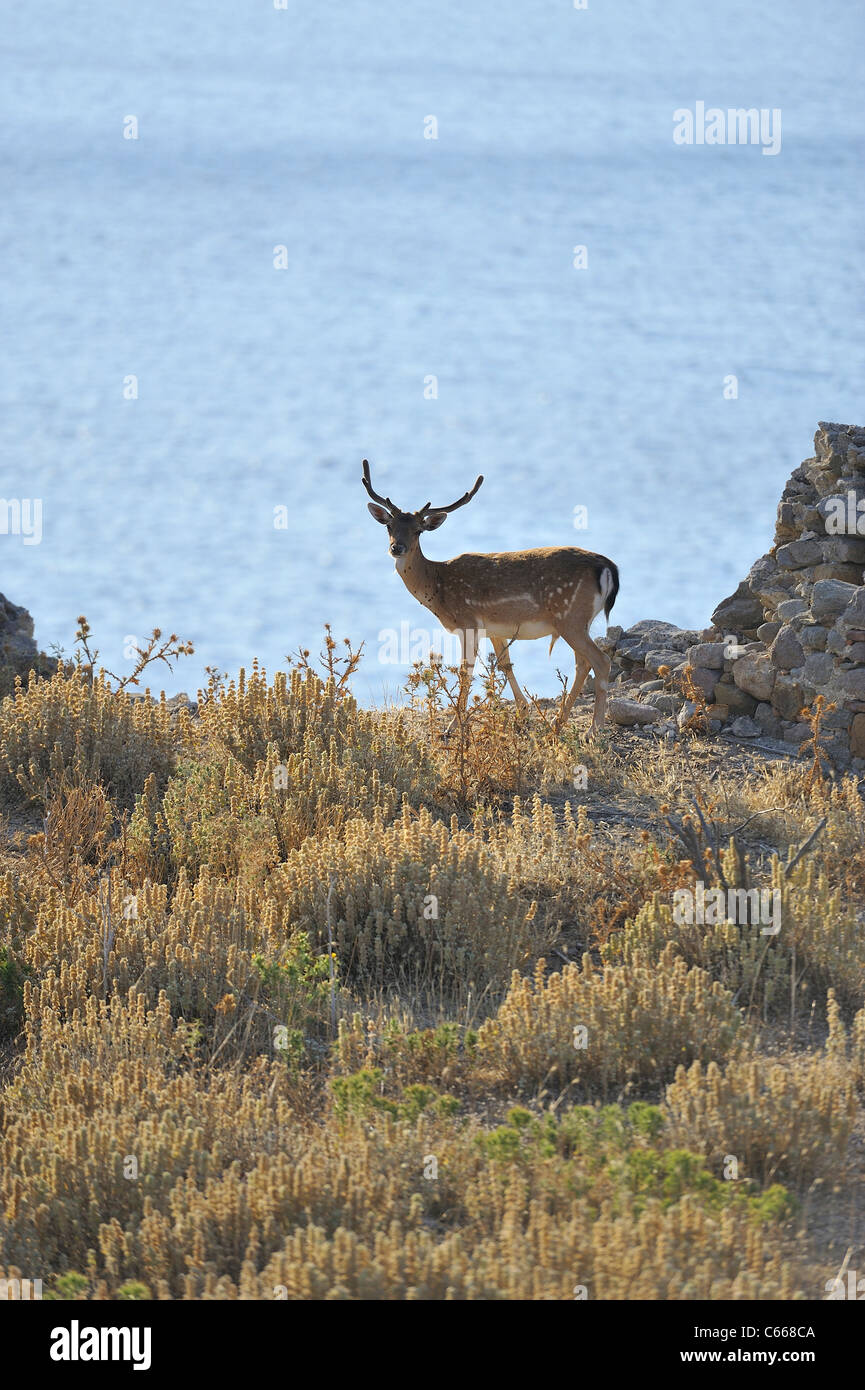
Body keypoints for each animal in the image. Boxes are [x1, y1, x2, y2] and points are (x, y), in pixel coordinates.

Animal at [361, 458, 620, 739]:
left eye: (419, 531)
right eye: (389, 526)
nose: (396, 548)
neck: (438, 589)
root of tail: (607, 567)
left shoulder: (468, 622)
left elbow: (466, 671)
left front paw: (452, 726)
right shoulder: (495, 628)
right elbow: (506, 664)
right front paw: (522, 713)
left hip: (570, 617)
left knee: (601, 661)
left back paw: (594, 729)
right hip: (577, 621)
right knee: (582, 663)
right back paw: (557, 722)